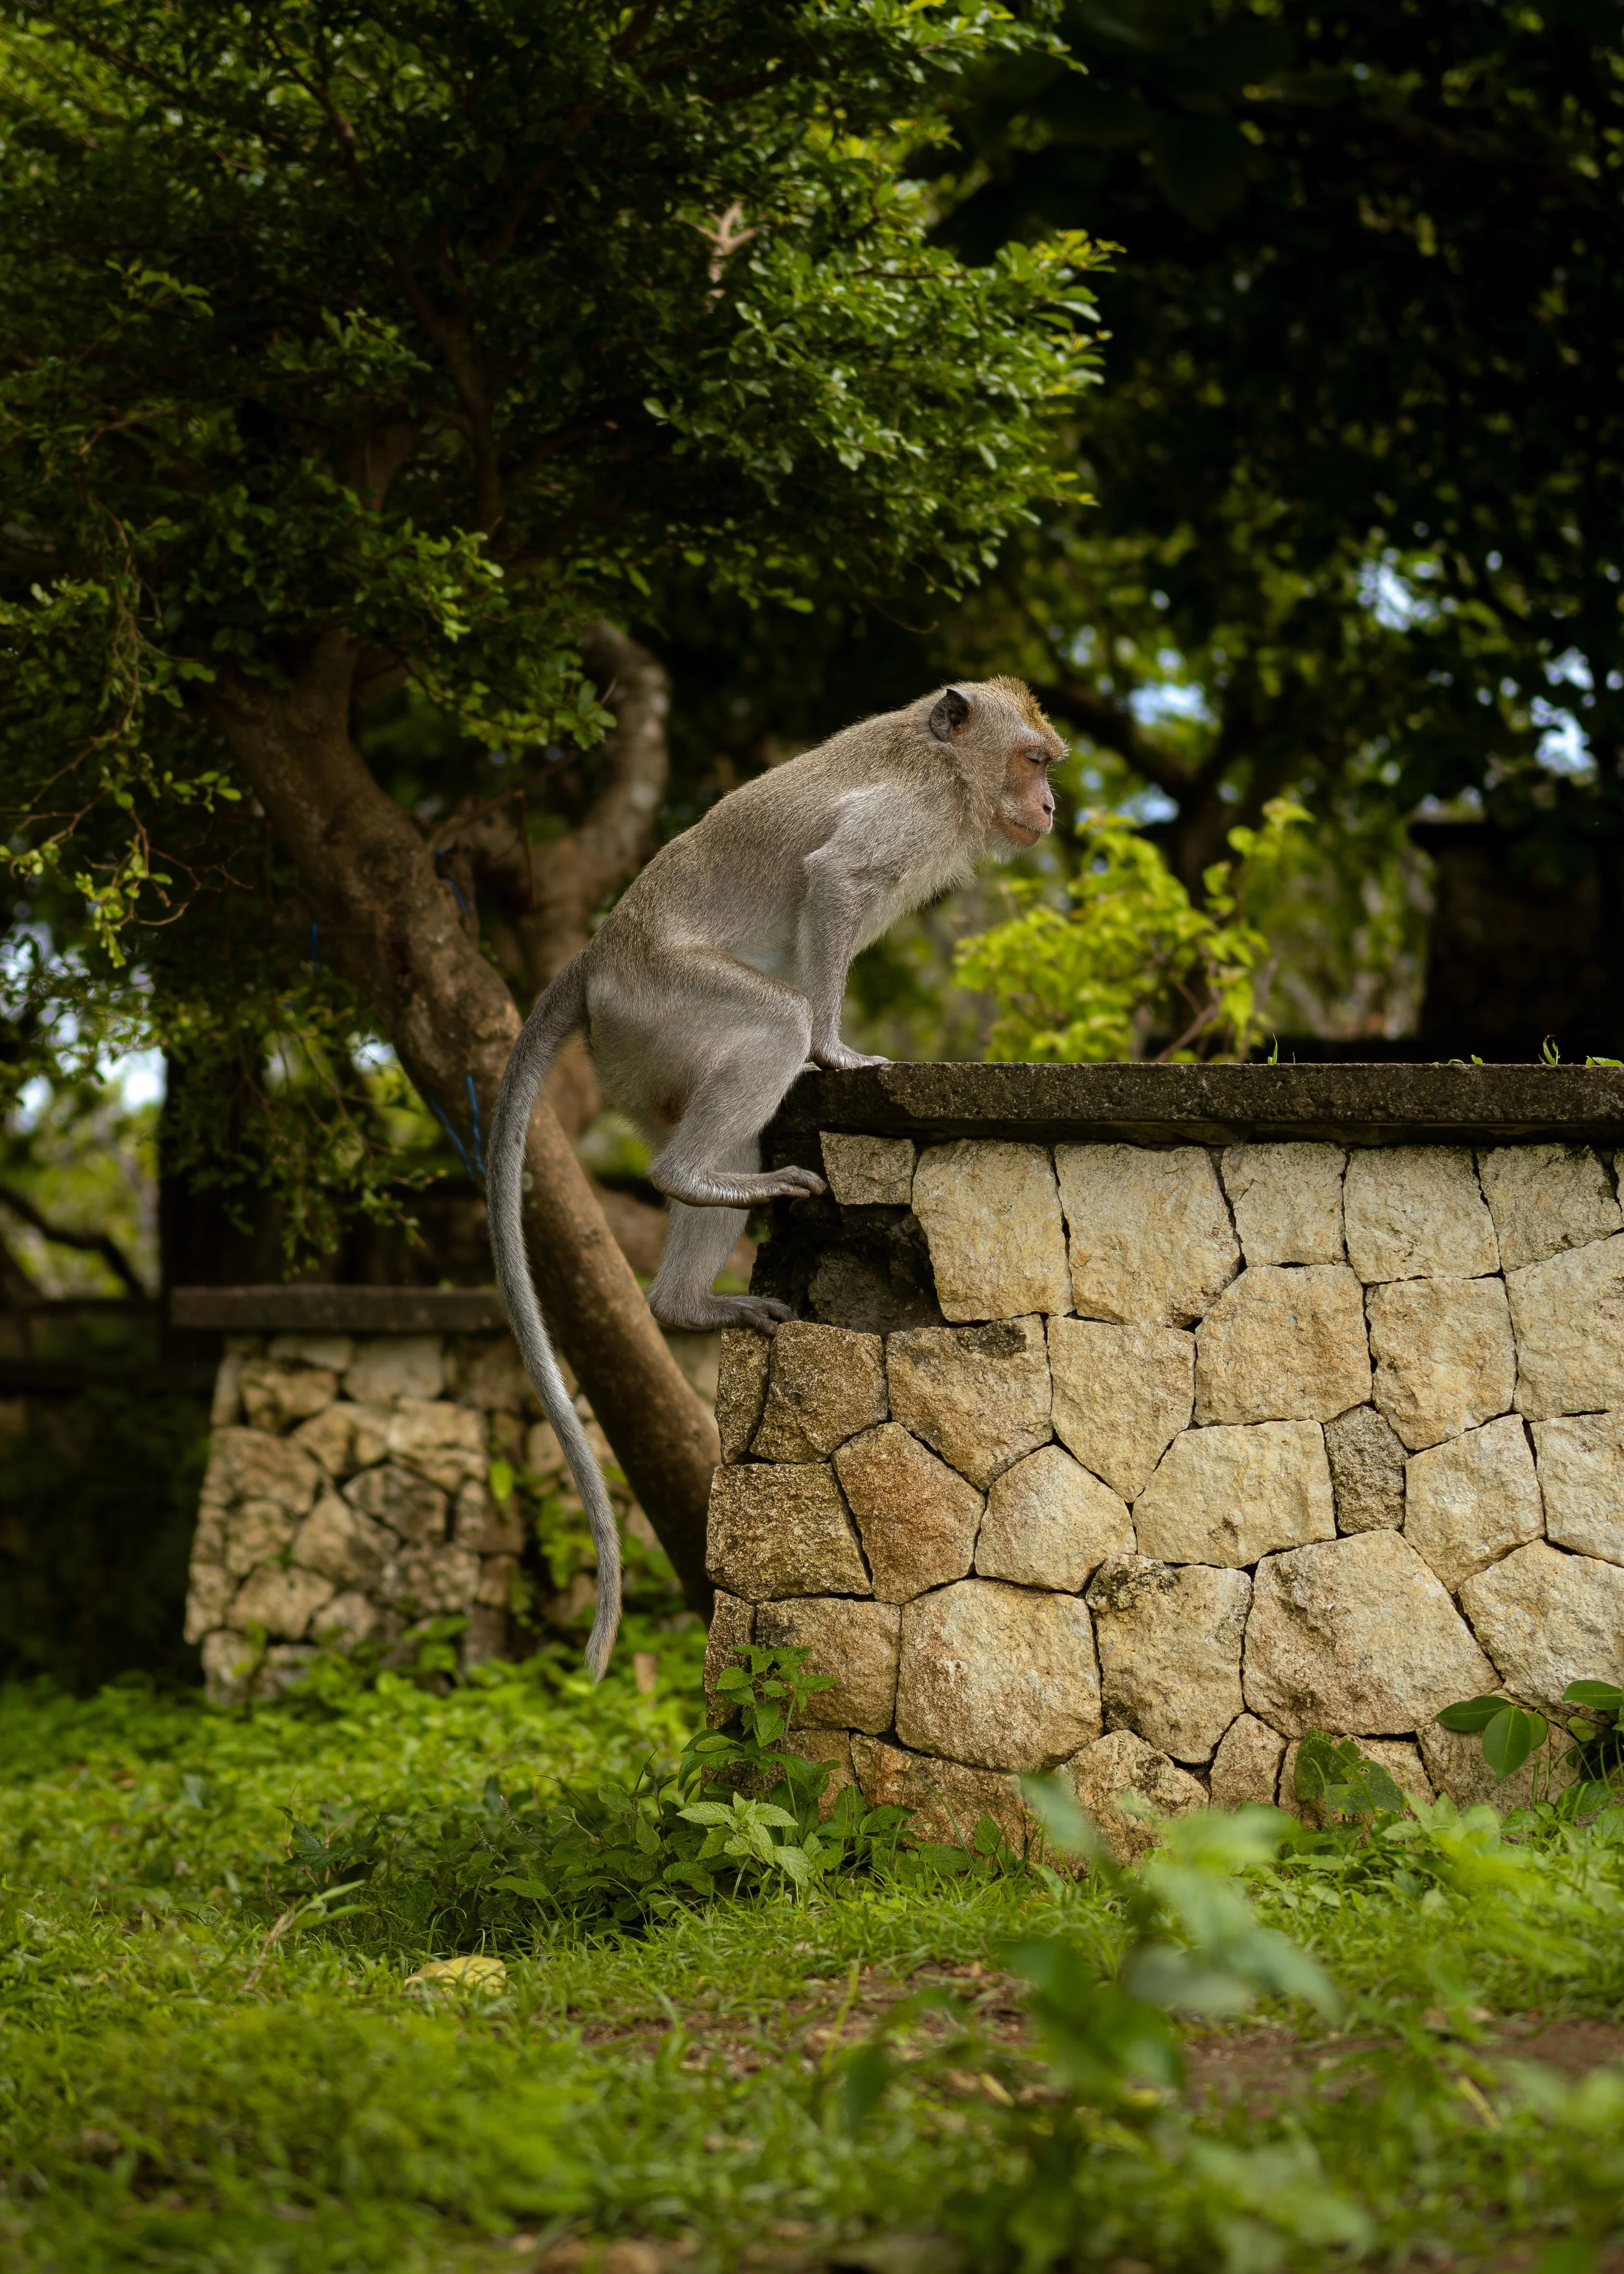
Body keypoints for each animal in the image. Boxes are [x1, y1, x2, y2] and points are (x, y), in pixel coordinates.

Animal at [488, 676, 1066, 1677]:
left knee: (733, 1132)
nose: (1052, 807)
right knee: (772, 1025)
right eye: (1033, 760)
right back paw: (693, 1173)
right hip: (665, 1000)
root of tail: (598, 957)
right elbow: (833, 882)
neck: (945, 767)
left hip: (643, 1062)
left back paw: (687, 1301)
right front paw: (836, 1049)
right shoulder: (902, 817)